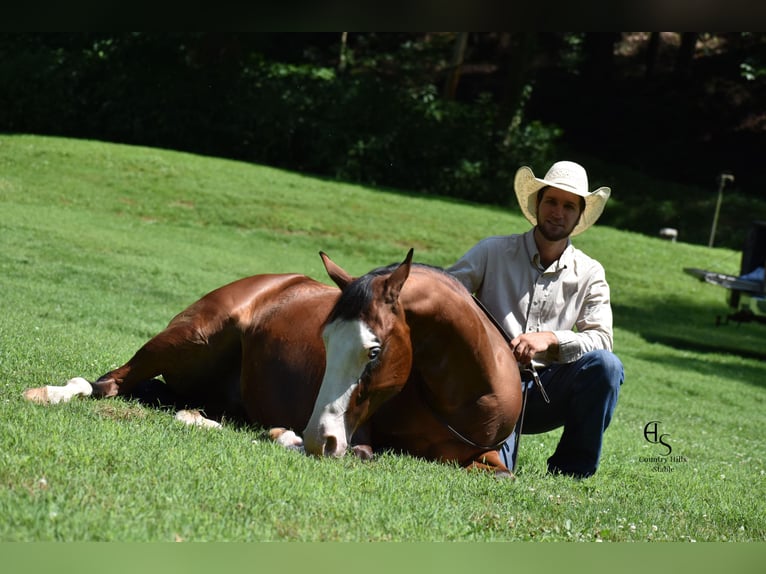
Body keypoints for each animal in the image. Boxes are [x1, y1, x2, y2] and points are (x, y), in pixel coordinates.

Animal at [23, 250, 522, 476]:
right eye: (325, 341)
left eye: (374, 350)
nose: (320, 436)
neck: (468, 396)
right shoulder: (358, 435)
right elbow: (356, 453)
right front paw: (286, 436)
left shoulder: (491, 463)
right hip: (187, 339)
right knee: (108, 382)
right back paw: (50, 393)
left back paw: (196, 417)